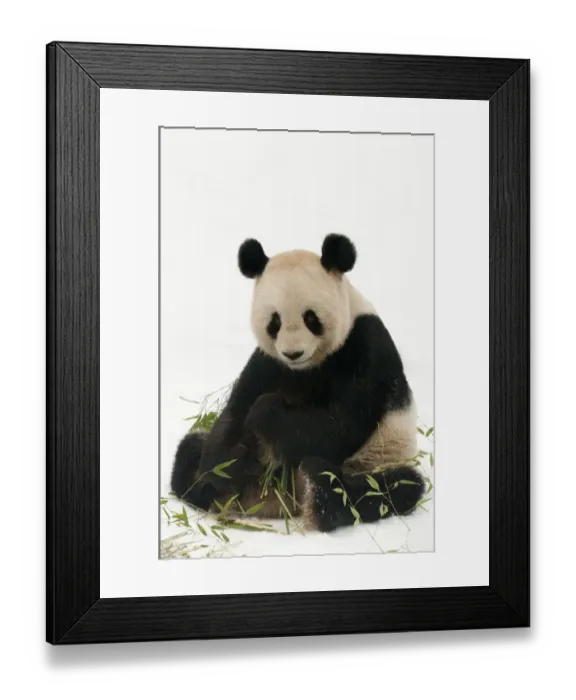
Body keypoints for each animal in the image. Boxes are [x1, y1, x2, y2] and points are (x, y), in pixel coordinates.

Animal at [170, 233, 425, 532]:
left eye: (311, 318)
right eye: (275, 321)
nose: (293, 353)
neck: (307, 367)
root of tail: (275, 503)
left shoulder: (366, 348)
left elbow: (339, 425)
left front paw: (267, 411)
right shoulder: (269, 362)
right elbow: (236, 411)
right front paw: (224, 469)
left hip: (378, 460)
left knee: (389, 488)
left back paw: (318, 495)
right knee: (189, 450)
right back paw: (206, 489)